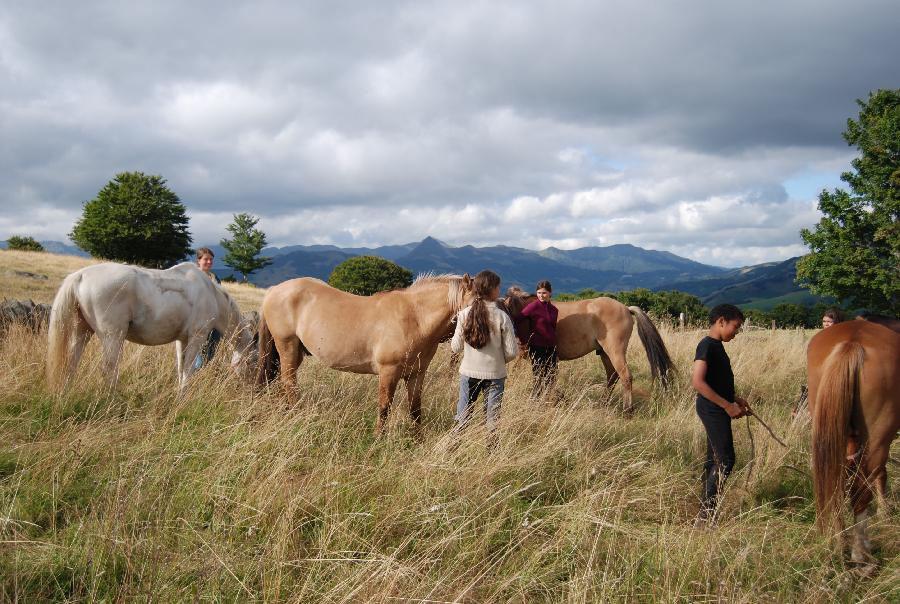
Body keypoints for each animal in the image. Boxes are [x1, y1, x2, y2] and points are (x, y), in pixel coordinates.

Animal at [48, 262, 255, 394]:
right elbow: (188, 369)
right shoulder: (197, 337)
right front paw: (184, 397)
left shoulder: (182, 340)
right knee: (109, 369)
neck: (211, 294)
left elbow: (180, 367)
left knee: (71, 363)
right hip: (112, 336)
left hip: (82, 332)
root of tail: (80, 276)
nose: (251, 388)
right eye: (252, 361)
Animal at [256, 274, 474, 434]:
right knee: (289, 382)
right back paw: (296, 414)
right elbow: (385, 406)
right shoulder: (388, 372)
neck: (415, 318)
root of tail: (274, 290)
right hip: (287, 346)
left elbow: (415, 408)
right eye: (476, 303)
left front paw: (417, 439)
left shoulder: (416, 374)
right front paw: (379, 437)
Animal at [502, 288, 672, 410]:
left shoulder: (528, 356)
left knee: (626, 377)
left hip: (615, 352)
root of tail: (626, 308)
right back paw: (604, 403)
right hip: (605, 354)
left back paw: (627, 410)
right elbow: (547, 379)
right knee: (612, 376)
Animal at [808, 318, 900, 568]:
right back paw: (861, 553)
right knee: (861, 490)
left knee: (836, 483)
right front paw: (885, 511)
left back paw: (840, 542)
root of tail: (852, 343)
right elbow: (881, 474)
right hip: (878, 437)